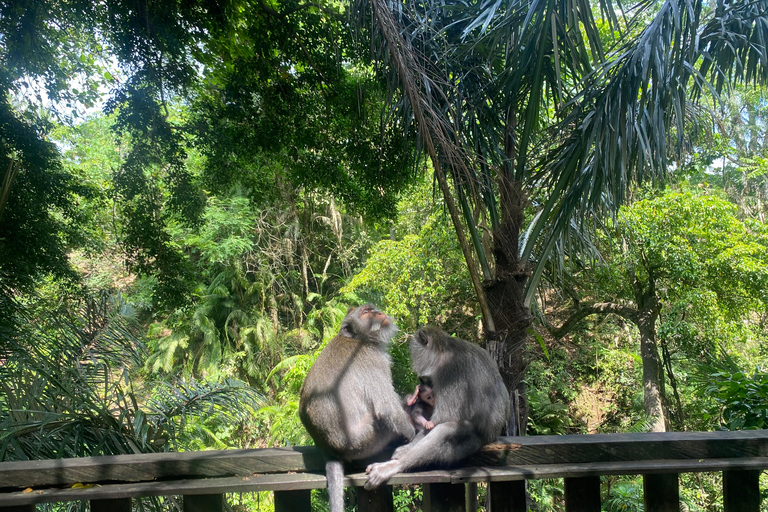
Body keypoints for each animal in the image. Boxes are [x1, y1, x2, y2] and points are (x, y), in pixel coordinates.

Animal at [299, 304, 416, 512]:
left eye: (373, 308)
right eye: (366, 312)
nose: (378, 313)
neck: (358, 339)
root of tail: (328, 448)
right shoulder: (372, 359)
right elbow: (386, 408)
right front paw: (414, 434)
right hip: (365, 440)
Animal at [365, 325, 510, 489]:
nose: (413, 362)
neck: (444, 349)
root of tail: (492, 435)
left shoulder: (448, 372)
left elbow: (442, 418)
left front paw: (404, 450)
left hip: (476, 439)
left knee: (446, 430)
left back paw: (394, 466)